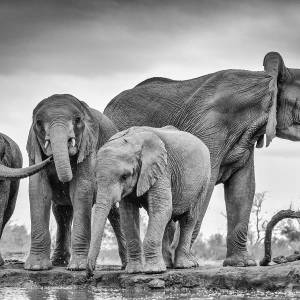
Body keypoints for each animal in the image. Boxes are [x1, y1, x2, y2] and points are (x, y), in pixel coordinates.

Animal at [24, 95, 126, 270]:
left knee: (115, 213)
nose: (50, 158)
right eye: (38, 123)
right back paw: (58, 262)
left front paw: (77, 267)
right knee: (61, 213)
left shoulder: (88, 146)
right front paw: (36, 267)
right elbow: (38, 190)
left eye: (78, 120)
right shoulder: (34, 151)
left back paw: (126, 265)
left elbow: (81, 189)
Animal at [86, 125, 211, 276]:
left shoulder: (162, 169)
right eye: (95, 176)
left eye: (124, 176)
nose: (90, 273)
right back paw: (167, 265)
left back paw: (183, 266)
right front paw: (134, 271)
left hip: (204, 181)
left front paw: (153, 271)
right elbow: (128, 214)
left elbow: (162, 207)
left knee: (189, 218)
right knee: (167, 221)